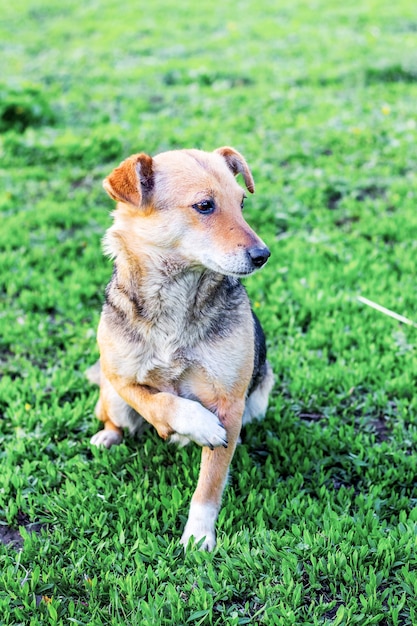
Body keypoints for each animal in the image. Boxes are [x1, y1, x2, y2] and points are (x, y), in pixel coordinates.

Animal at [88, 145, 272, 544]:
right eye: (204, 206)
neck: (175, 292)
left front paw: (199, 537)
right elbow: (159, 401)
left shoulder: (230, 404)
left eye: (241, 203)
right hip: (112, 397)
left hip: (258, 401)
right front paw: (196, 424)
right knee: (114, 418)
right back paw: (107, 438)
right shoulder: (121, 378)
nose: (263, 255)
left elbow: (209, 484)